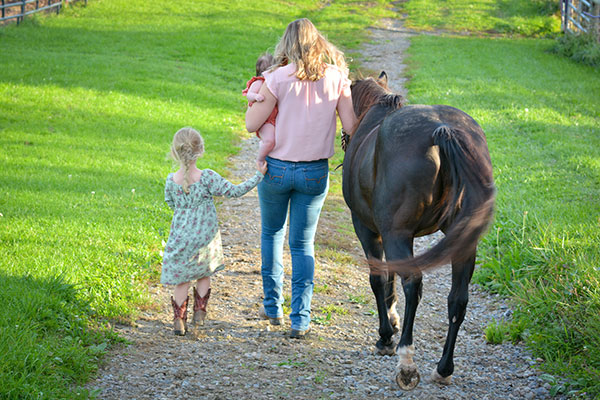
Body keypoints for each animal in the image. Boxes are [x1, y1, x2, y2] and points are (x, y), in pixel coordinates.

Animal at [342, 72, 496, 390]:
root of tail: (442, 131)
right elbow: (389, 280)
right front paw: (392, 321)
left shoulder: (368, 229)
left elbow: (379, 279)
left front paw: (386, 336)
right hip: (463, 243)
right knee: (457, 299)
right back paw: (444, 368)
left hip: (396, 234)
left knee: (413, 284)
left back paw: (406, 363)